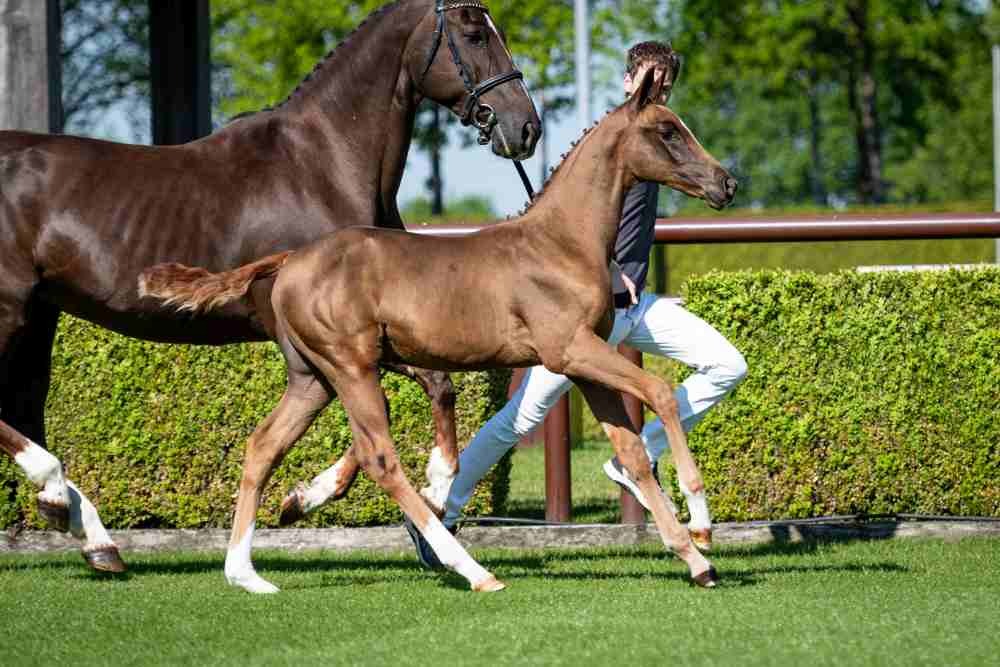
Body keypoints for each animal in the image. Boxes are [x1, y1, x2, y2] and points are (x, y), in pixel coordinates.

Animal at [0, 0, 539, 574]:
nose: (525, 127)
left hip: (40, 316)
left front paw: (306, 498)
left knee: (25, 406)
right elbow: (393, 408)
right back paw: (58, 494)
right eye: (474, 34)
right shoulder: (322, 339)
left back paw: (90, 534)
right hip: (10, 311)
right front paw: (428, 491)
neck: (322, 169)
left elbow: (429, 389)